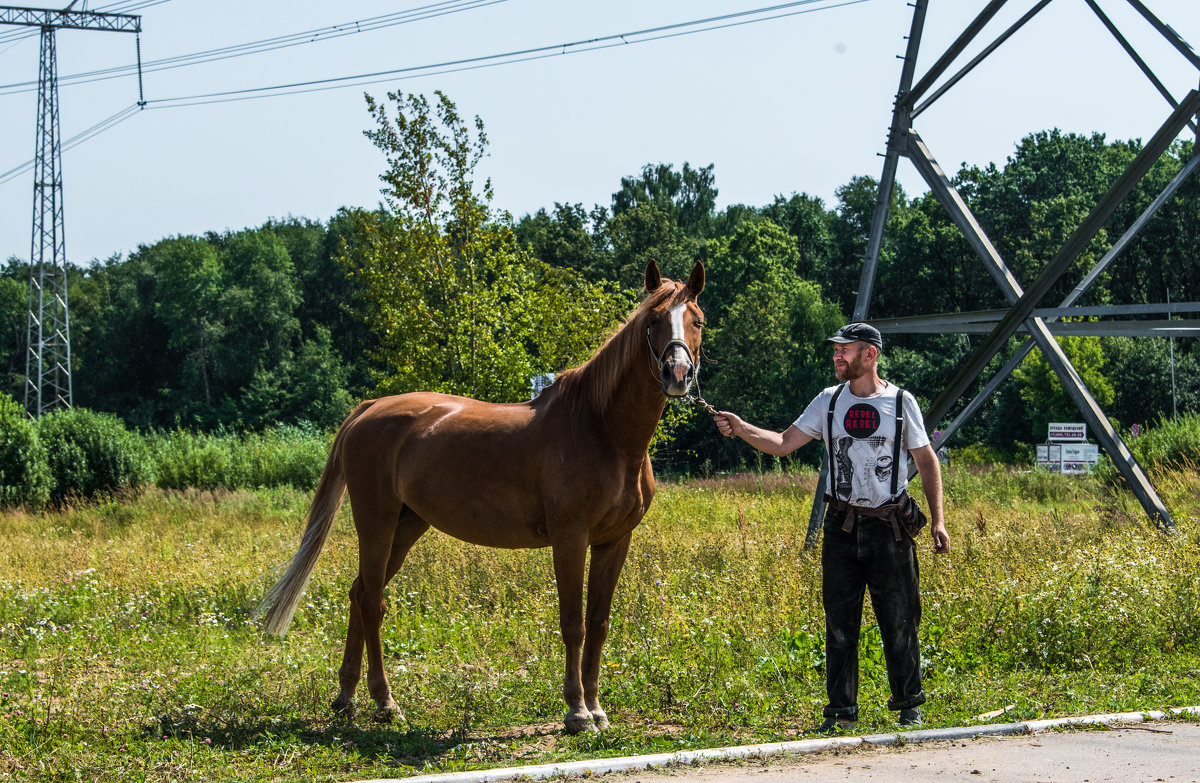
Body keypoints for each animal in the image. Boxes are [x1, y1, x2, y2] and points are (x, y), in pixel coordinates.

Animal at [260, 261, 700, 734]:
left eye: (696, 320)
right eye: (653, 320)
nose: (677, 374)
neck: (601, 430)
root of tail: (370, 408)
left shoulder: (614, 541)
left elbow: (598, 624)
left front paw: (597, 709)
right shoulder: (570, 539)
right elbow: (573, 623)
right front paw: (577, 712)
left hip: (407, 526)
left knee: (360, 594)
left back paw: (346, 697)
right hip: (376, 524)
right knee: (373, 602)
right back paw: (385, 701)